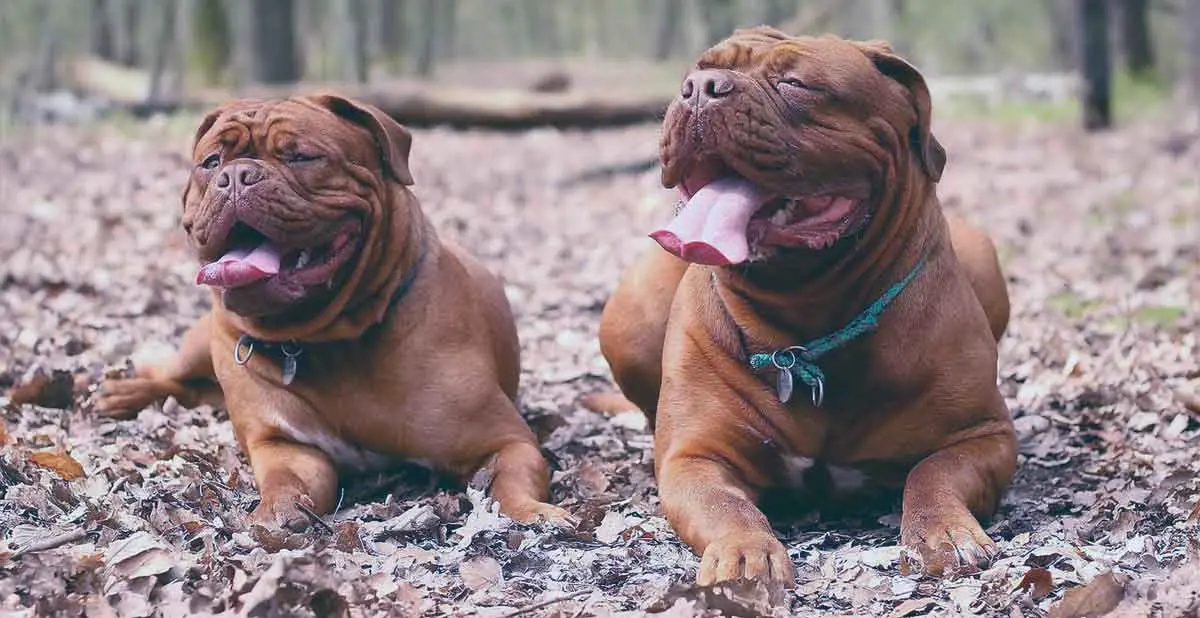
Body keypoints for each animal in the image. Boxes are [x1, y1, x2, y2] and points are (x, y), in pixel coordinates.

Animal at [93, 96, 571, 532]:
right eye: (210, 163)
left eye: (301, 156)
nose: (235, 176)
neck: (326, 340)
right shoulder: (285, 445)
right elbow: (286, 481)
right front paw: (276, 510)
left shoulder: (508, 440)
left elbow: (508, 481)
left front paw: (533, 512)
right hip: (200, 345)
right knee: (172, 375)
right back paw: (120, 393)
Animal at [597, 30, 1012, 590]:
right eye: (697, 70)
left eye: (797, 83)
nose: (700, 89)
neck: (804, 325)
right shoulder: (695, 458)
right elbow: (727, 507)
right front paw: (745, 552)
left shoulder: (983, 436)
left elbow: (933, 473)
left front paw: (943, 532)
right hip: (627, 318)